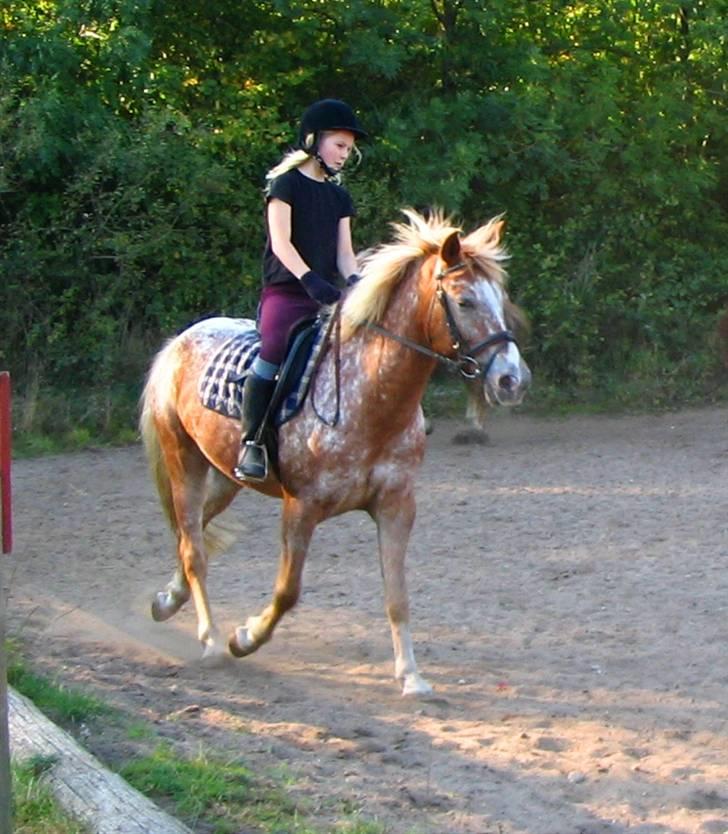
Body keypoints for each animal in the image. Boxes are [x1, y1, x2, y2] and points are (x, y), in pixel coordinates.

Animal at [141, 210, 528, 696]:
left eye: (501, 298)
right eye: (465, 301)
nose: (513, 380)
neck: (372, 400)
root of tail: (179, 342)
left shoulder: (396, 507)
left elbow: (398, 595)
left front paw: (411, 676)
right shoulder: (301, 507)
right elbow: (288, 591)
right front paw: (245, 637)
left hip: (226, 476)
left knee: (192, 535)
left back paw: (167, 601)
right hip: (184, 461)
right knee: (194, 547)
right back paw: (211, 641)